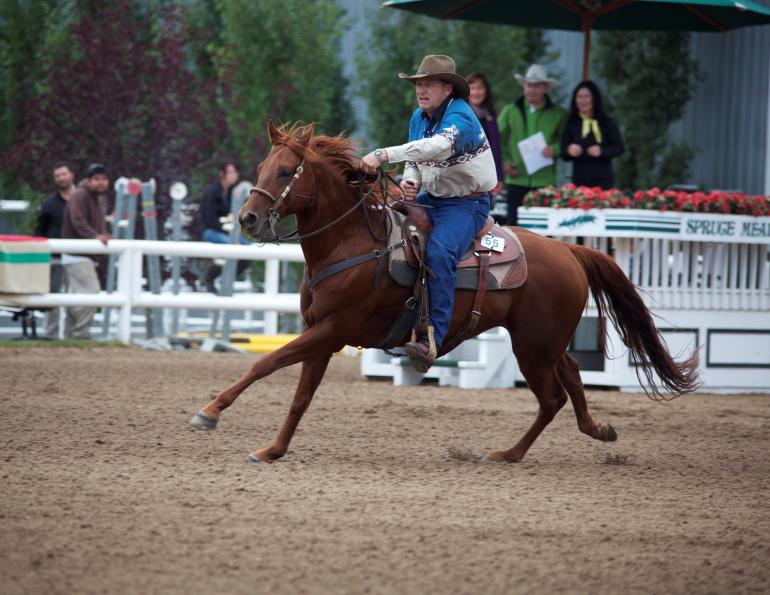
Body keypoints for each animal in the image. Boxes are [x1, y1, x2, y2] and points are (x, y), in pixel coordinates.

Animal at [190, 121, 699, 463]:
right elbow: (300, 396)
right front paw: (273, 449)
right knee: (572, 378)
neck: (351, 242)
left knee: (552, 396)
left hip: (533, 347)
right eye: (262, 167)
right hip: (544, 343)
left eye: (286, 172)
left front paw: (210, 411)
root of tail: (567, 251)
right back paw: (586, 432)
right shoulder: (322, 334)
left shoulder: (333, 330)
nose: (247, 219)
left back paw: (513, 452)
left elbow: (265, 362)